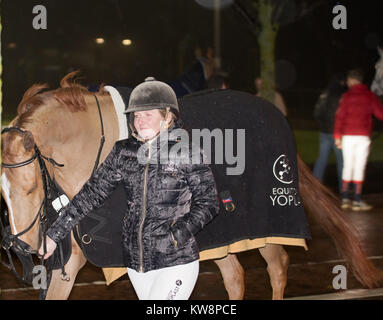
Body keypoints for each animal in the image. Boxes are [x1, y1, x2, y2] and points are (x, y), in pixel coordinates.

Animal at [0, 73, 383, 300]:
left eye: (30, 188)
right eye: (3, 195)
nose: (22, 247)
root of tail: (275, 115)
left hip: (267, 223)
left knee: (278, 266)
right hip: (222, 236)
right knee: (236, 276)